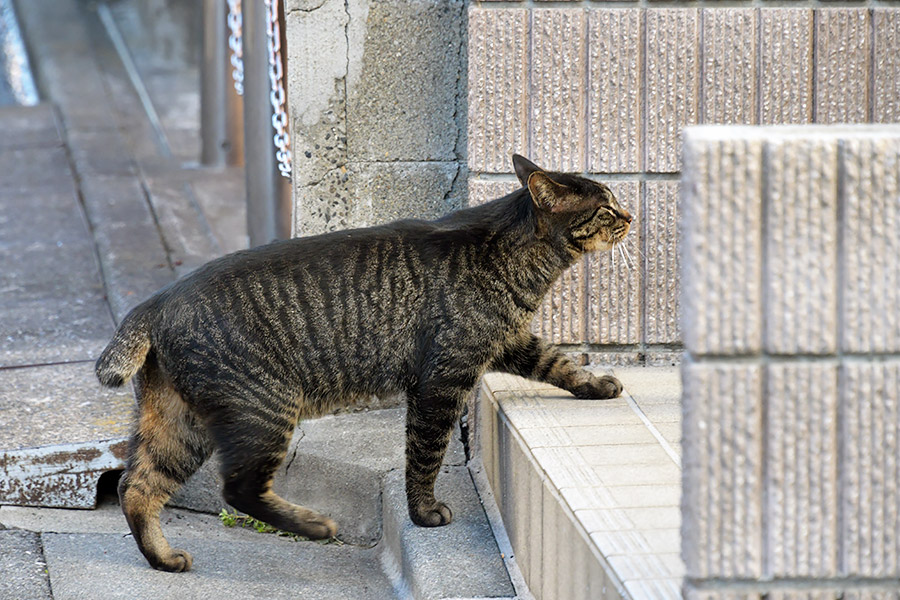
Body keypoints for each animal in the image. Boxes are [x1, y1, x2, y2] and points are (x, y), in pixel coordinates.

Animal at [95, 155, 632, 572]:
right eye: (606, 207)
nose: (630, 215)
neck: (515, 257)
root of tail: (157, 301)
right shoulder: (443, 381)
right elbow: (425, 454)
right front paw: (424, 513)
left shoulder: (509, 343)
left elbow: (560, 363)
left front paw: (598, 385)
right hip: (263, 409)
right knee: (237, 488)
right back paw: (314, 525)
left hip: (180, 425)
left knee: (135, 486)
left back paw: (163, 558)